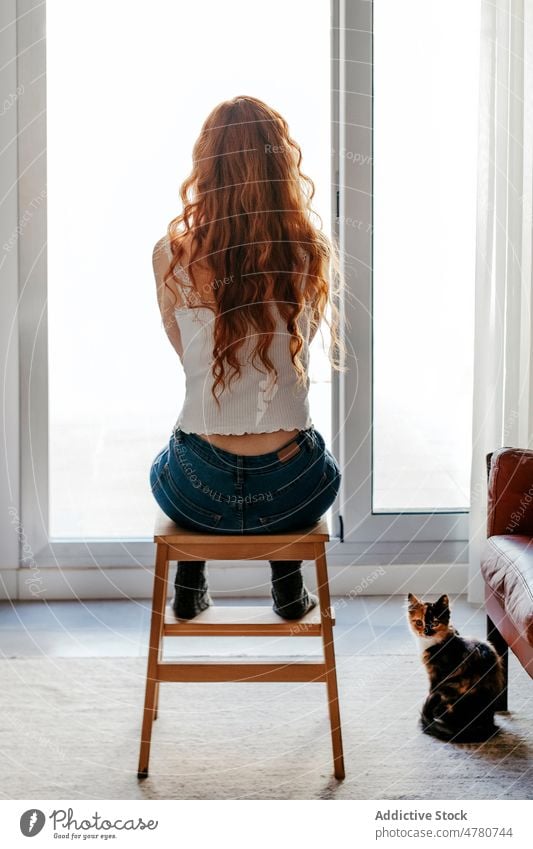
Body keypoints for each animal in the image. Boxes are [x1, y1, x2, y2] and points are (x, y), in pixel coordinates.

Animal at [408, 588, 502, 744]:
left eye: (435, 623)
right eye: (419, 622)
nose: (426, 632)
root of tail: (486, 723)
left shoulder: (437, 674)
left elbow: (431, 689)